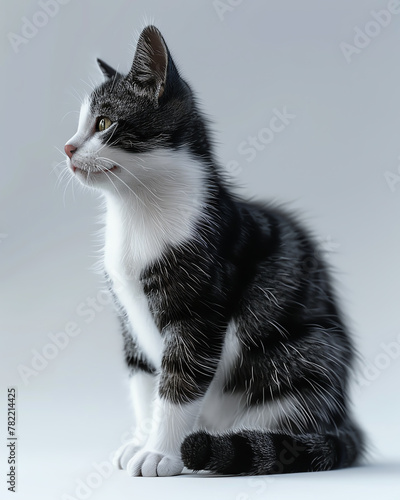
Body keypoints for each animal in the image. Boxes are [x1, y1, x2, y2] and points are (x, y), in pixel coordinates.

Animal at [64, 24, 364, 476]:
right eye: (80, 124)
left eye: (103, 122)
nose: (67, 148)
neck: (135, 213)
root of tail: (343, 415)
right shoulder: (128, 317)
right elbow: (143, 381)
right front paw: (141, 440)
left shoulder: (200, 309)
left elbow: (181, 380)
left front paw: (159, 453)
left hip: (308, 353)